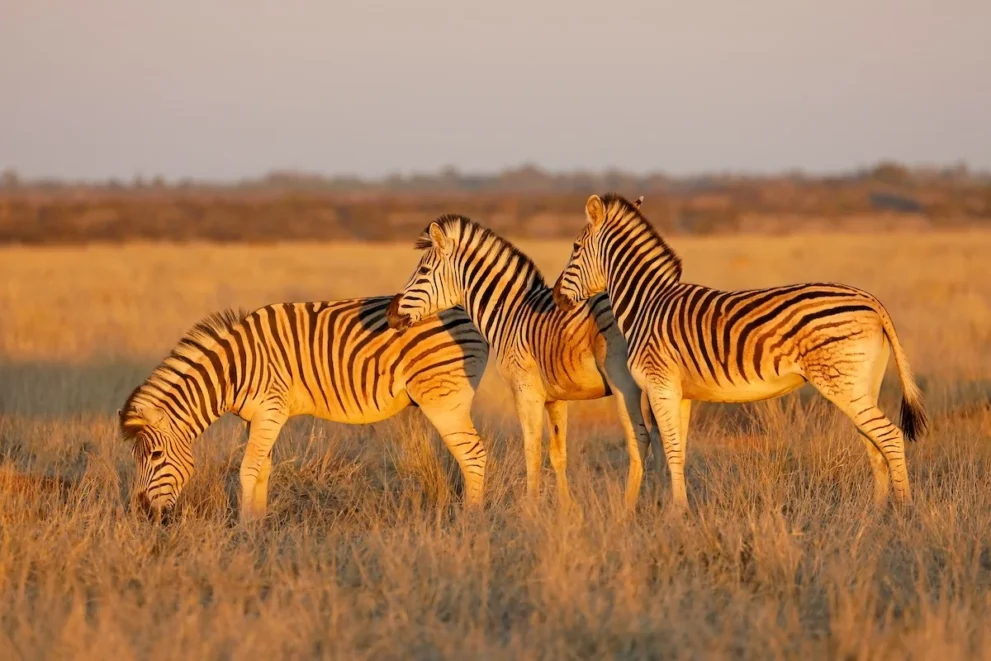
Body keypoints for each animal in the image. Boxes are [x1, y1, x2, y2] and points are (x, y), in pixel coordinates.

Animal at [118, 300, 490, 520]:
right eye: (135, 458)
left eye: (155, 456)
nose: (142, 513)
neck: (235, 370)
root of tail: (463, 311)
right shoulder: (257, 418)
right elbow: (262, 469)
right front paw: (260, 523)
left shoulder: (271, 409)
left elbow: (247, 470)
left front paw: (245, 527)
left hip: (444, 400)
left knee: (473, 455)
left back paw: (471, 520)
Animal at [384, 204, 664, 512]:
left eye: (423, 271)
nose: (390, 314)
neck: (511, 314)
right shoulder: (556, 396)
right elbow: (557, 453)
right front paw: (565, 510)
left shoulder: (525, 390)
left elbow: (531, 450)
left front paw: (531, 510)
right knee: (661, 436)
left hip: (625, 383)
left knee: (640, 437)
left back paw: (627, 507)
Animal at [556, 193, 928, 508]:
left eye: (575, 247)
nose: (558, 298)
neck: (647, 303)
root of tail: (871, 300)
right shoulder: (680, 392)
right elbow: (679, 451)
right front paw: (678, 510)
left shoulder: (660, 385)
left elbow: (672, 449)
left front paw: (677, 515)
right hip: (861, 385)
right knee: (873, 442)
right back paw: (874, 514)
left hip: (844, 384)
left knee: (890, 437)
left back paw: (903, 511)